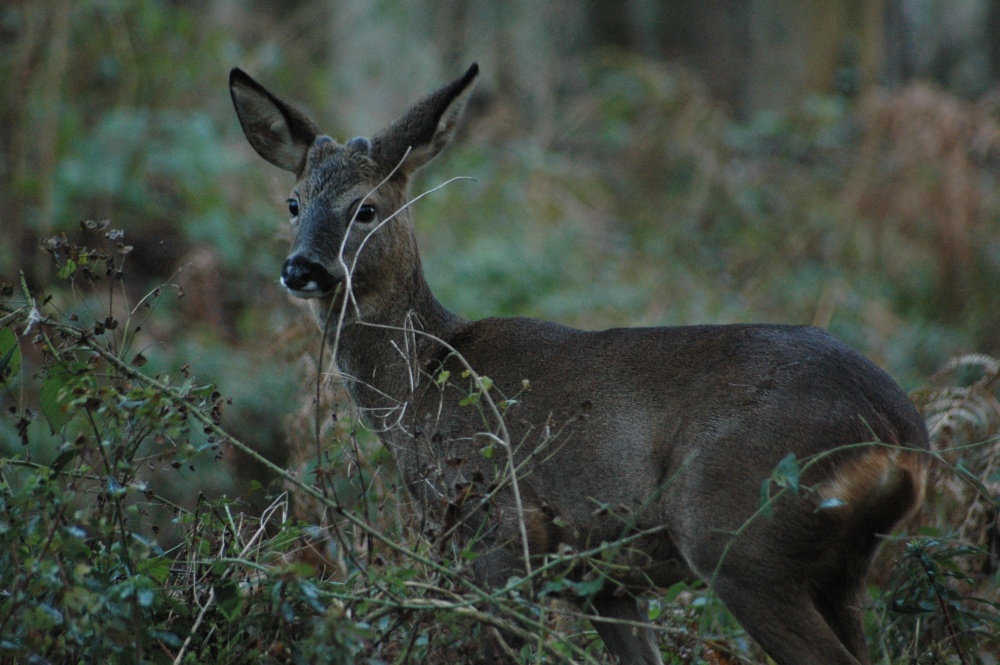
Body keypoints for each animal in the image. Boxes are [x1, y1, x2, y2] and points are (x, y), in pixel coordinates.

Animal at [232, 63, 928, 664]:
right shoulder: (602, 578)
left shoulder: (500, 529)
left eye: (367, 208)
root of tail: (901, 440)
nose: (302, 268)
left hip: (739, 534)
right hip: (841, 569)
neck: (420, 382)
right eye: (293, 202)